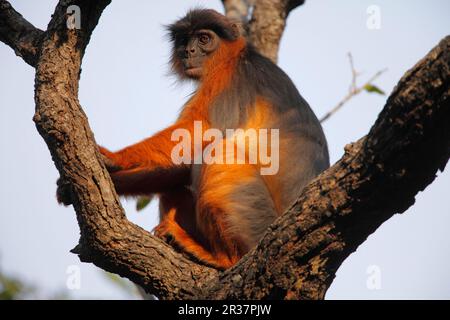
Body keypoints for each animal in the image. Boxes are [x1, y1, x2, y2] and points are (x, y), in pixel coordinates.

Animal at [59, 8, 326, 270]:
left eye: (204, 39)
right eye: (184, 40)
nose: (189, 51)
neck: (234, 57)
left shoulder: (226, 80)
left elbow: (198, 131)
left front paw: (115, 157)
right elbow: (183, 165)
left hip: (257, 226)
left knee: (219, 154)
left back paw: (222, 258)